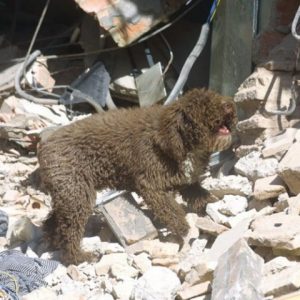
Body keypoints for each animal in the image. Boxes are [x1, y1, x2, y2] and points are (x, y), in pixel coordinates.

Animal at [38, 88, 237, 264]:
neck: (178, 140)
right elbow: (172, 212)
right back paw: (78, 257)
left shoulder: (186, 181)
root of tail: (44, 147)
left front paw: (211, 205)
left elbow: (200, 194)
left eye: (216, 96)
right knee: (69, 232)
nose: (229, 105)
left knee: (55, 221)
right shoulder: (151, 186)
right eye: (204, 105)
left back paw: (52, 241)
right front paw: (184, 229)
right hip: (77, 194)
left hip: (69, 194)